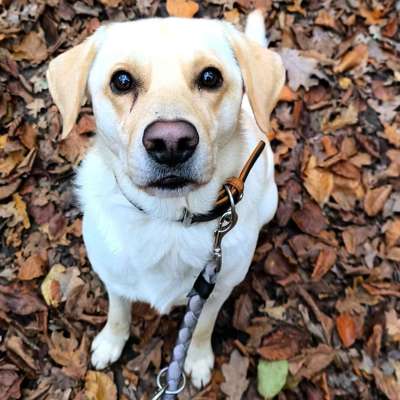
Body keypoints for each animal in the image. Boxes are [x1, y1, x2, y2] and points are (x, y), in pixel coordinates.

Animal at [47, 9, 284, 390]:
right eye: (121, 81)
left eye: (210, 77)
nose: (171, 142)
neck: (170, 219)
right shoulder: (113, 278)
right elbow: (118, 311)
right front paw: (111, 341)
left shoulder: (216, 290)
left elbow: (201, 326)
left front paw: (197, 358)